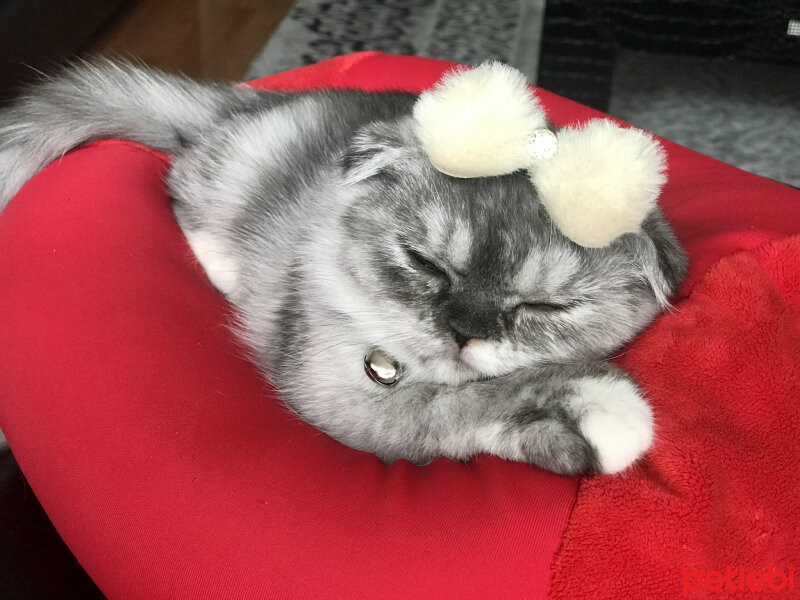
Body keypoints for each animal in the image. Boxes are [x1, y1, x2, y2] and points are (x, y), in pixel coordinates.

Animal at [0, 59, 688, 474]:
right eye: (424, 263)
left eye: (546, 307)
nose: (462, 334)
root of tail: (235, 105)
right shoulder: (337, 394)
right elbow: (472, 402)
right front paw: (611, 408)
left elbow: (484, 403)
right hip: (226, 176)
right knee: (180, 187)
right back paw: (226, 268)